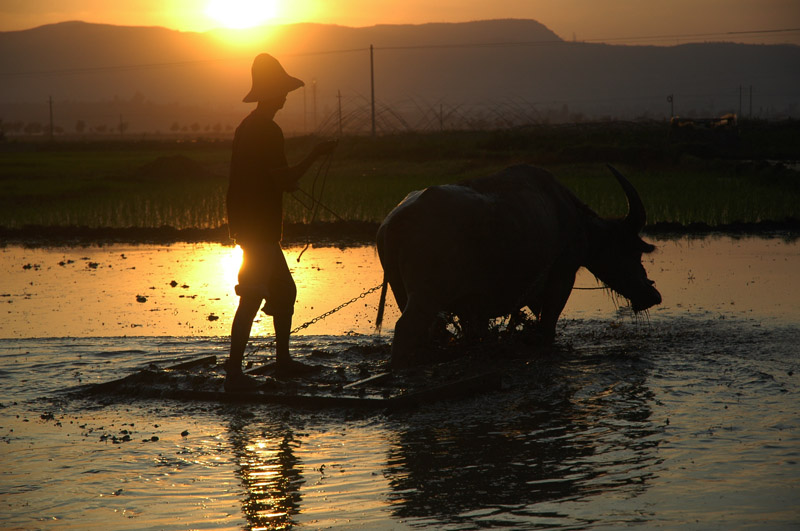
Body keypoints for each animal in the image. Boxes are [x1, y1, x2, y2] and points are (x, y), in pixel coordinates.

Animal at [376, 164, 664, 368]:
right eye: (633, 251)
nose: (653, 294)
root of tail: (395, 221)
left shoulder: (475, 307)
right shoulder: (561, 277)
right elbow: (548, 327)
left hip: (404, 294)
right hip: (425, 296)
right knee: (405, 329)